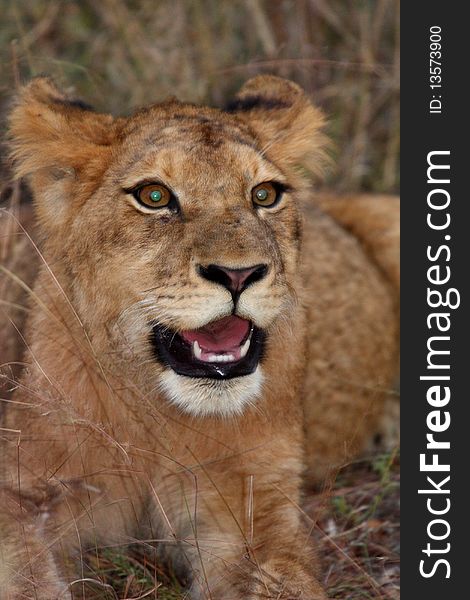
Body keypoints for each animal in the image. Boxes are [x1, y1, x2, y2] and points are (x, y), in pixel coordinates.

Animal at [0, 77, 398, 596]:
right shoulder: (23, 492)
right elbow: (27, 576)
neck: (159, 417)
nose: (238, 274)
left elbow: (287, 580)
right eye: (153, 196)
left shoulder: (255, 509)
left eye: (265, 195)